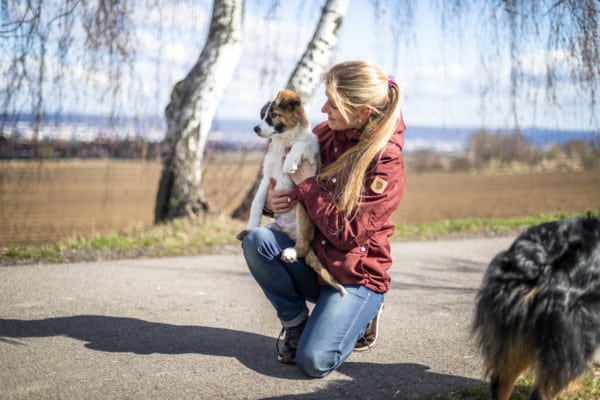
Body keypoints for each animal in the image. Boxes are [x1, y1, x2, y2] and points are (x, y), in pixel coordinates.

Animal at [237, 91, 344, 296]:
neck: (284, 141)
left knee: (303, 246)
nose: (255, 128)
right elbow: (256, 203)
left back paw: (290, 253)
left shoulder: (311, 153)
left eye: (273, 115)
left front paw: (290, 162)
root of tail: (292, 233)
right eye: (263, 115)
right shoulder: (266, 178)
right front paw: (251, 225)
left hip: (302, 209)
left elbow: (301, 144)